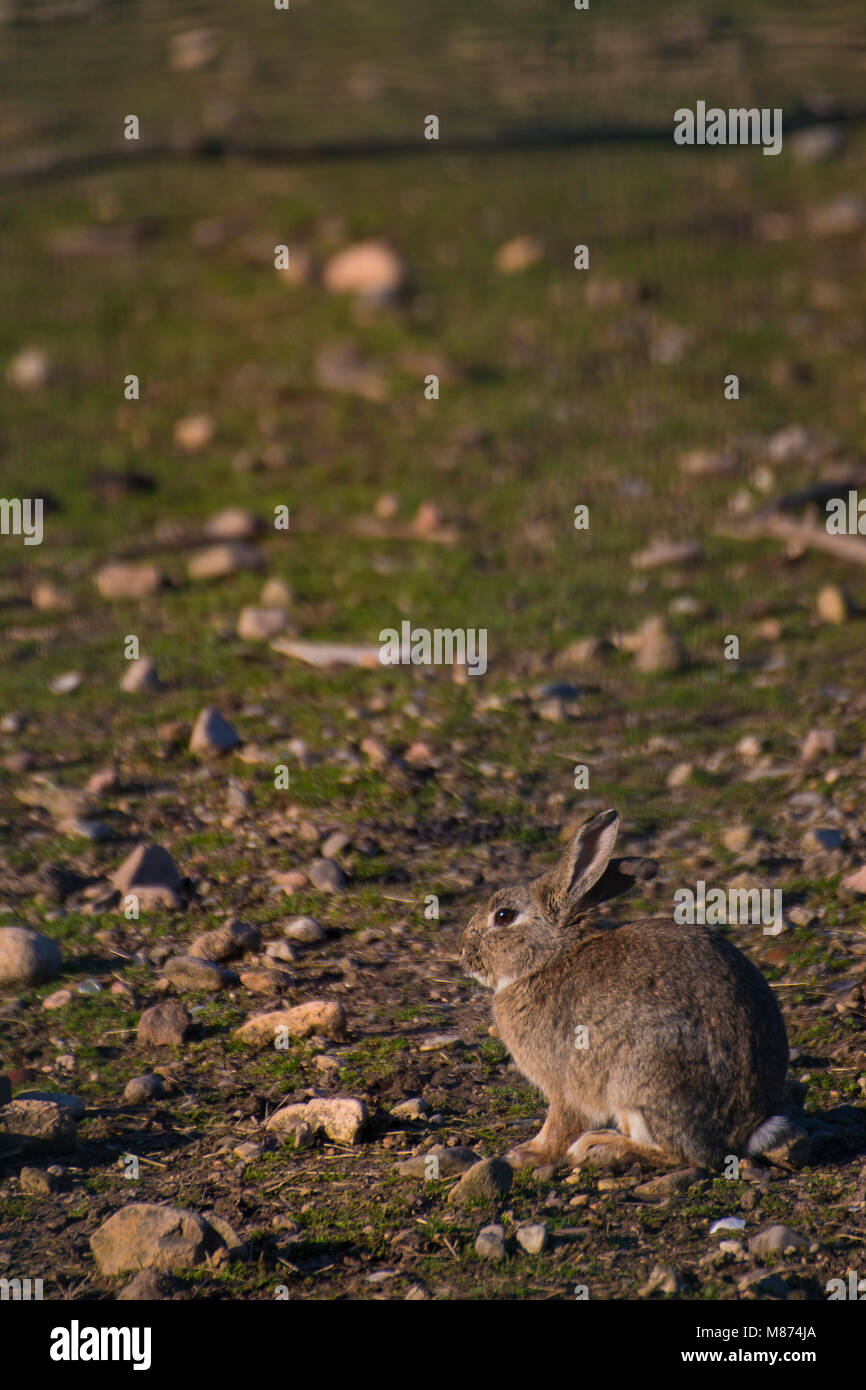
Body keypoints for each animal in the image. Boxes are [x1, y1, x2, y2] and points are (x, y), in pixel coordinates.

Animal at [461, 808, 798, 1171]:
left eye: (504, 916)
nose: (464, 955)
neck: (553, 956)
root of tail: (748, 1129)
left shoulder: (564, 1083)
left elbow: (559, 1124)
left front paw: (528, 1154)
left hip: (641, 1080)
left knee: (687, 1155)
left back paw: (598, 1147)